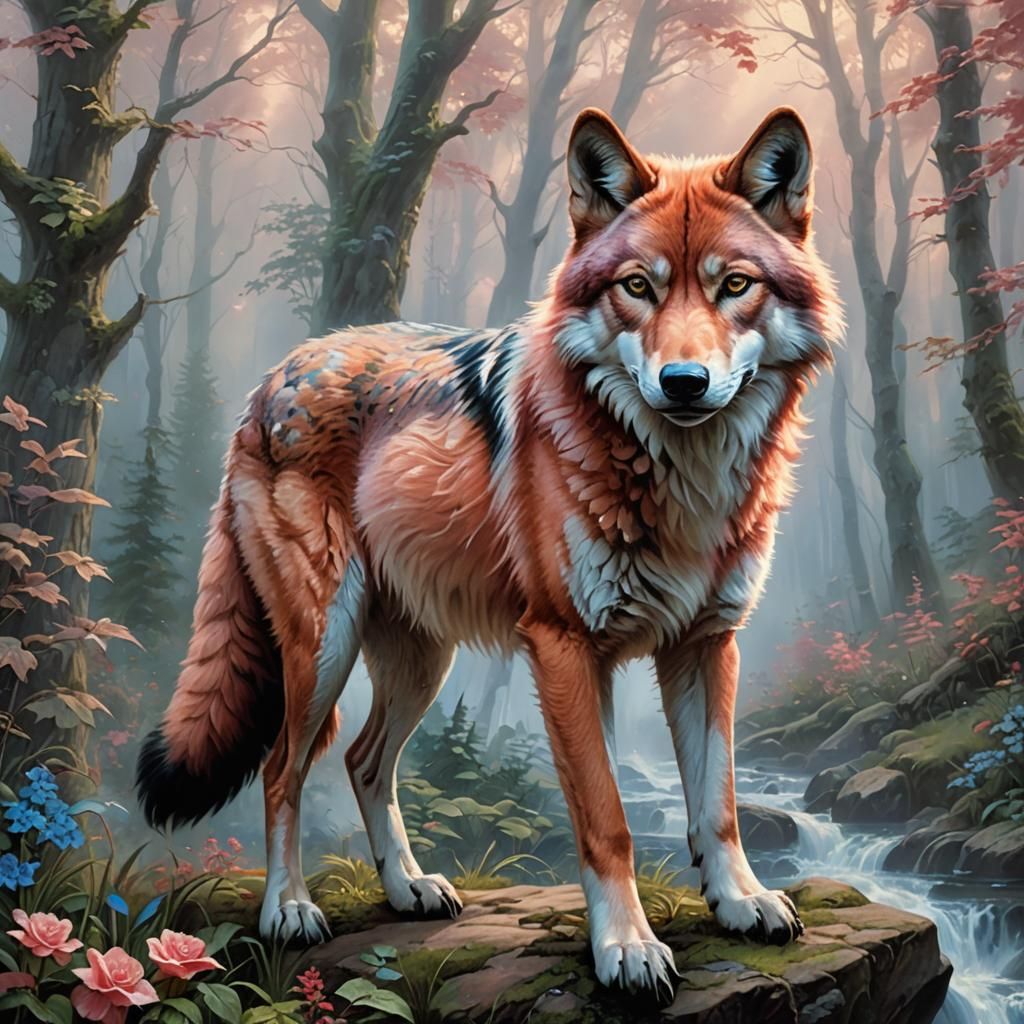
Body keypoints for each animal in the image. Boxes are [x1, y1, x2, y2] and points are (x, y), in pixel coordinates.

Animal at [137, 106, 841, 997]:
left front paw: (741, 903)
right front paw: (627, 949)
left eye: (735, 286)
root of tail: (272, 379)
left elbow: (716, 804)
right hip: (322, 647)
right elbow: (607, 821)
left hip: (419, 662)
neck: (681, 479)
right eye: (637, 287)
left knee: (364, 760)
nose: (683, 382)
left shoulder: (706, 644)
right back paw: (289, 910)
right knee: (282, 771)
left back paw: (408, 889)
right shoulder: (564, 646)